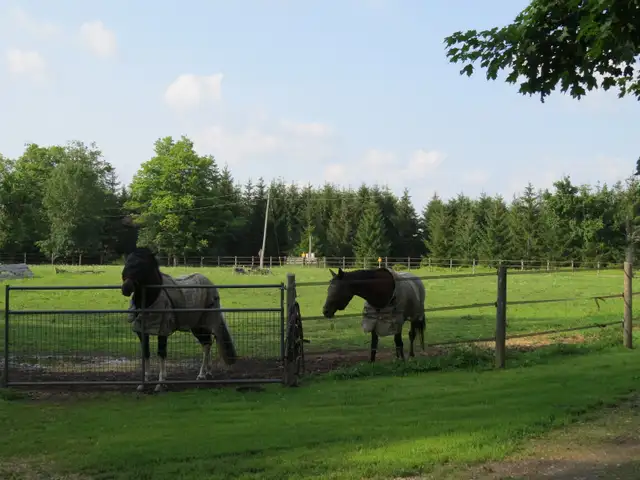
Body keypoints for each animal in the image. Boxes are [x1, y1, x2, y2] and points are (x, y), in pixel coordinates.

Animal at [121, 247, 238, 392]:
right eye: (127, 262)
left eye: (141, 265)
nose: (126, 288)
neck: (152, 299)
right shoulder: (142, 331)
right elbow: (146, 353)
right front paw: (144, 383)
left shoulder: (163, 331)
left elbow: (161, 353)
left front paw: (160, 384)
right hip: (197, 326)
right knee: (207, 343)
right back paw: (207, 372)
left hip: (203, 324)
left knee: (206, 345)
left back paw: (201, 375)